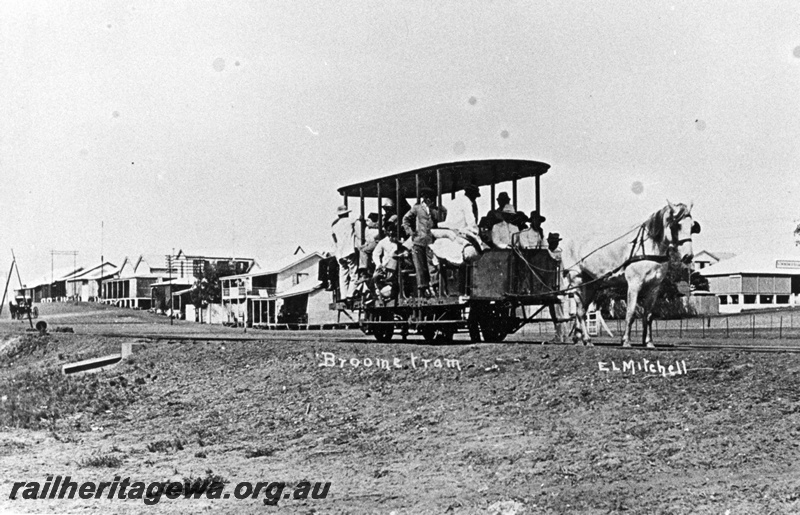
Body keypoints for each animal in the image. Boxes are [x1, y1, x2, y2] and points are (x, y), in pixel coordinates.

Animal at [564, 202, 700, 346]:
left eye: (692, 226)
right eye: (676, 225)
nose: (688, 256)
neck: (648, 249)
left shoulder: (654, 287)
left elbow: (648, 315)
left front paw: (648, 342)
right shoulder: (634, 284)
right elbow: (631, 312)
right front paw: (626, 341)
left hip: (591, 286)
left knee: (582, 311)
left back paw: (579, 338)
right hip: (577, 281)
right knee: (580, 312)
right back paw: (587, 339)